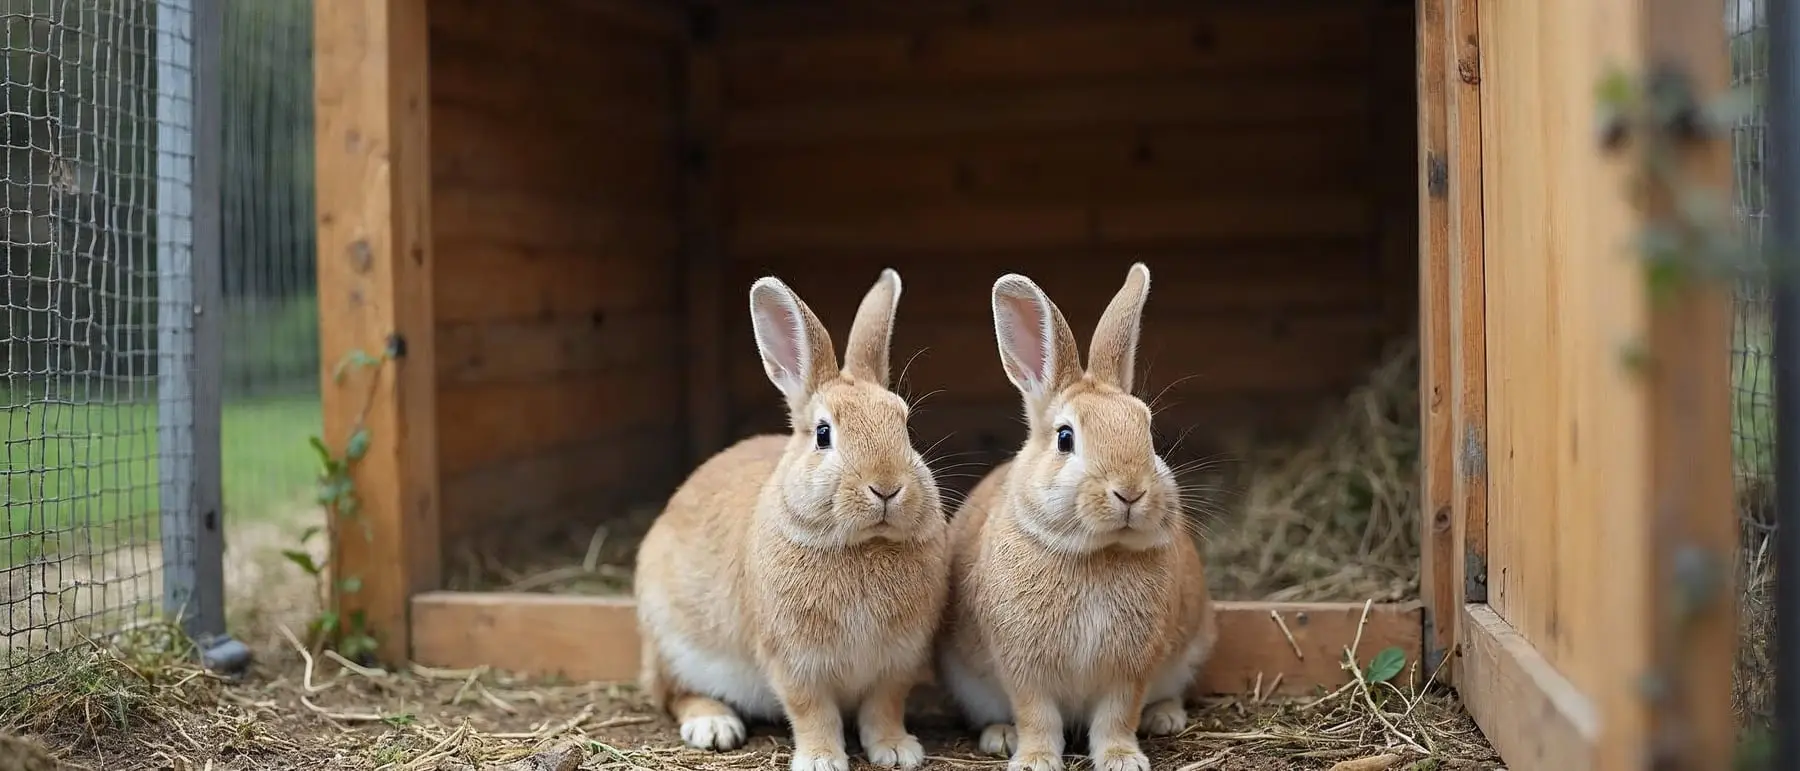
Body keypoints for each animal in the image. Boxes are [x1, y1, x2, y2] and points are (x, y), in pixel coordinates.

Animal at [633, 269, 951, 771]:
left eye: (904, 425)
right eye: (823, 434)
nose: (886, 487)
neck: (864, 545)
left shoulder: (898, 662)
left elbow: (884, 706)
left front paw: (898, 750)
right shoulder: (794, 662)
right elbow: (811, 710)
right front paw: (821, 759)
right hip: (672, 643)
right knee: (673, 693)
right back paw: (714, 725)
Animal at [934, 263, 1217, 771]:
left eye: (1147, 430)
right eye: (1065, 438)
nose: (1130, 491)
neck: (1096, 553)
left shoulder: (1130, 671)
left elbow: (1117, 717)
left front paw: (1123, 760)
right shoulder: (1024, 670)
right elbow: (1037, 717)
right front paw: (1034, 760)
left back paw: (1165, 717)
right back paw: (1000, 736)